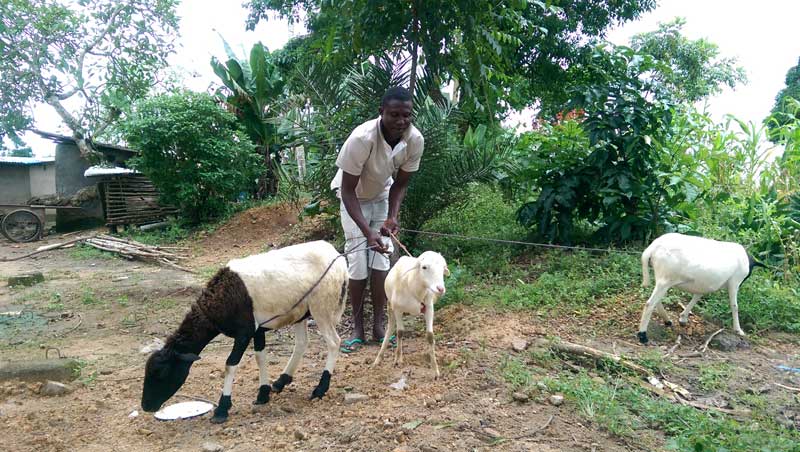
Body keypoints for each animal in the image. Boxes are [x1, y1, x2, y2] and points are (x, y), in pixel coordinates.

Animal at [141, 242, 346, 422]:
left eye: (161, 373)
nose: (146, 406)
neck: (216, 306)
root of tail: (337, 257)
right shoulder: (257, 329)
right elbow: (260, 357)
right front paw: (263, 394)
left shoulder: (244, 333)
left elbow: (230, 365)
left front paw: (222, 409)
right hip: (301, 311)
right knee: (302, 343)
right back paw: (281, 381)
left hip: (322, 305)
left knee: (334, 342)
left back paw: (320, 389)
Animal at [636, 233, 764, 342]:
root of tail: (653, 247)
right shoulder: (735, 282)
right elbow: (734, 306)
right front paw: (738, 330)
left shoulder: (703, 284)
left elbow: (697, 296)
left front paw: (683, 318)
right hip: (665, 279)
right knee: (650, 303)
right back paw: (642, 336)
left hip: (663, 279)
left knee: (656, 300)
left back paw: (667, 320)